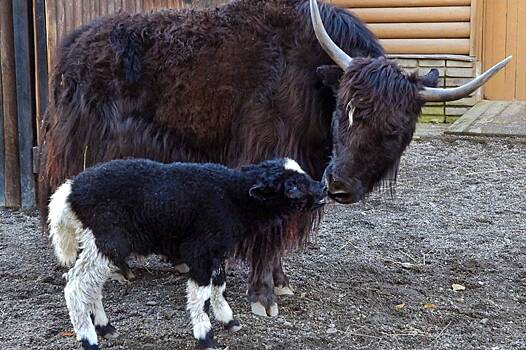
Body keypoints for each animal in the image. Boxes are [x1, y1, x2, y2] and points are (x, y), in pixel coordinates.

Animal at [50, 158, 330, 350]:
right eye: (292, 187)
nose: (323, 190)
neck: (234, 198)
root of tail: (69, 192)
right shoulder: (199, 249)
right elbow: (199, 293)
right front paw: (206, 337)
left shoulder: (216, 251)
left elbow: (219, 285)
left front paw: (228, 320)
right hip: (106, 240)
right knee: (75, 286)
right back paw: (89, 340)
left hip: (98, 243)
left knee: (91, 286)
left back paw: (105, 327)